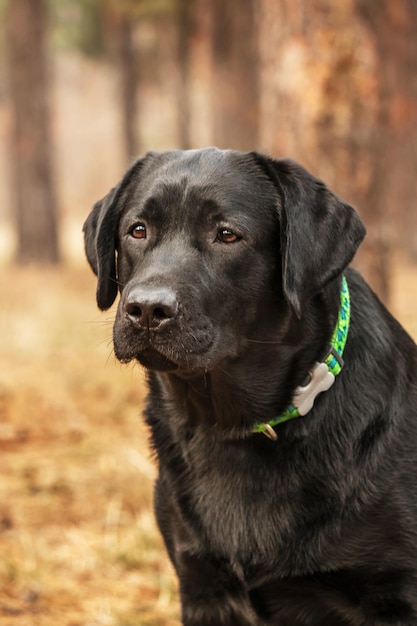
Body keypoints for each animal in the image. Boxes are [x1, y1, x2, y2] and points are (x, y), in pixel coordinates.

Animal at [83, 149, 416, 620]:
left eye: (227, 235)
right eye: (138, 230)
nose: (146, 309)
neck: (231, 426)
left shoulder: (392, 591)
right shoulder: (202, 584)